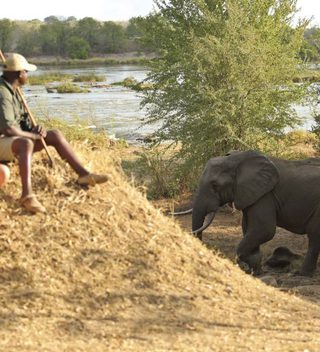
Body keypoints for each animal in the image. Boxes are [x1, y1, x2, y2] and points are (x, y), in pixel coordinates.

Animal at [178, 150, 320, 276]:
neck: (237, 160)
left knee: (314, 235)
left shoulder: (265, 195)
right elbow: (248, 228)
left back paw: (302, 274)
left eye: (215, 185)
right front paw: (255, 271)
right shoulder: (250, 194)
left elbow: (264, 230)